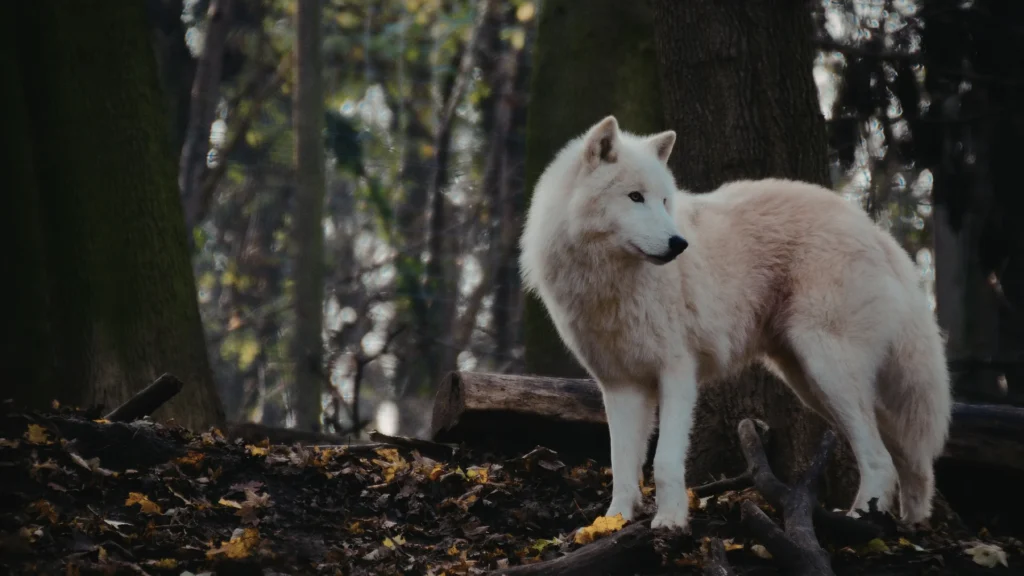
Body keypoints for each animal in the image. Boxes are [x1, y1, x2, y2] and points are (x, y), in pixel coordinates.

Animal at [518, 115, 953, 531]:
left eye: (663, 200)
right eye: (635, 197)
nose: (679, 244)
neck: (611, 282)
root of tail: (874, 229)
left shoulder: (677, 372)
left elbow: (664, 462)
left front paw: (670, 521)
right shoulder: (620, 385)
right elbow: (623, 466)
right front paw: (613, 521)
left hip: (827, 370)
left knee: (880, 458)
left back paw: (861, 520)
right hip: (812, 382)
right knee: (907, 456)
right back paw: (910, 522)